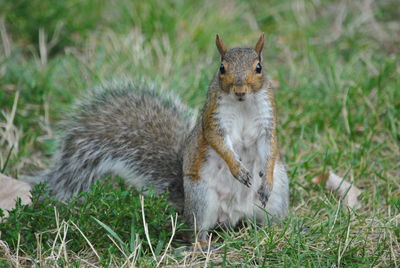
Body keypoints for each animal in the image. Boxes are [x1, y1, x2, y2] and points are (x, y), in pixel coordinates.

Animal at [28, 33, 290, 247]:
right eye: (222, 68)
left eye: (259, 67)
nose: (239, 89)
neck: (242, 104)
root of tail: (234, 216)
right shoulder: (213, 119)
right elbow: (218, 142)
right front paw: (237, 169)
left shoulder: (268, 121)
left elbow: (270, 146)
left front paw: (264, 179)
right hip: (202, 198)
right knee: (195, 231)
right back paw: (202, 244)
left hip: (277, 196)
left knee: (268, 218)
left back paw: (280, 230)